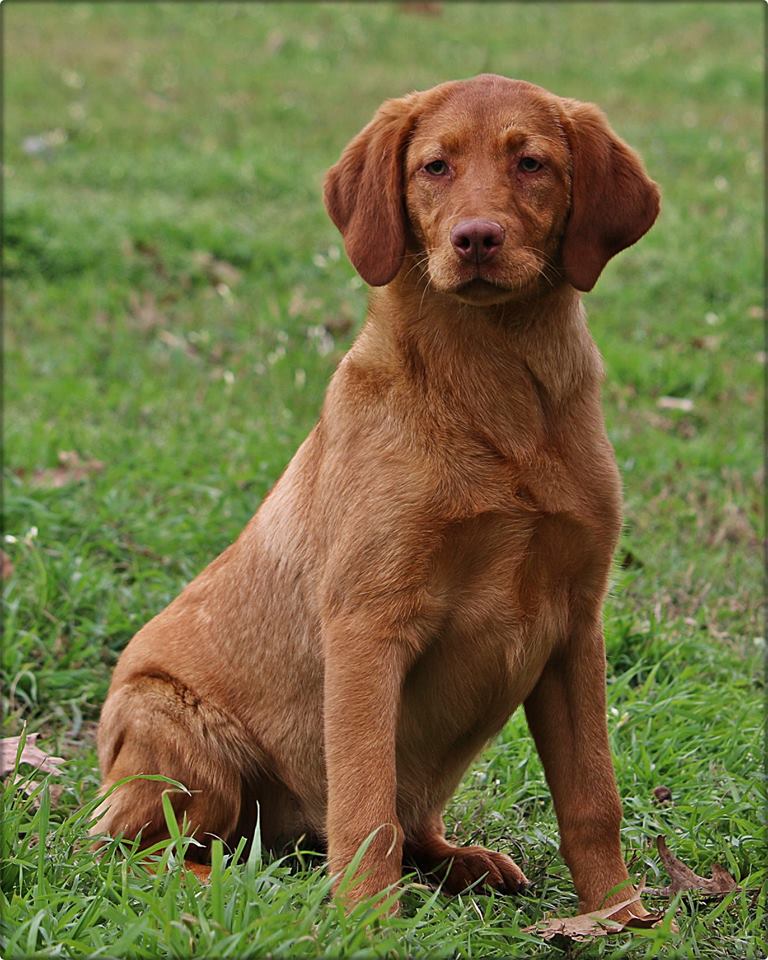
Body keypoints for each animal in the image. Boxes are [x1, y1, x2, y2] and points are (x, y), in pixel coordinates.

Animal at [94, 73, 660, 916]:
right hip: (177, 731)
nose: (476, 238)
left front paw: (622, 916)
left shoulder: (575, 627)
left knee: (406, 822)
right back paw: (236, 884)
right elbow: (364, 809)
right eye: (434, 167)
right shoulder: (367, 623)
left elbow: (594, 799)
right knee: (127, 850)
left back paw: (461, 861)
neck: (493, 391)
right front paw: (367, 924)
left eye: (531, 163)